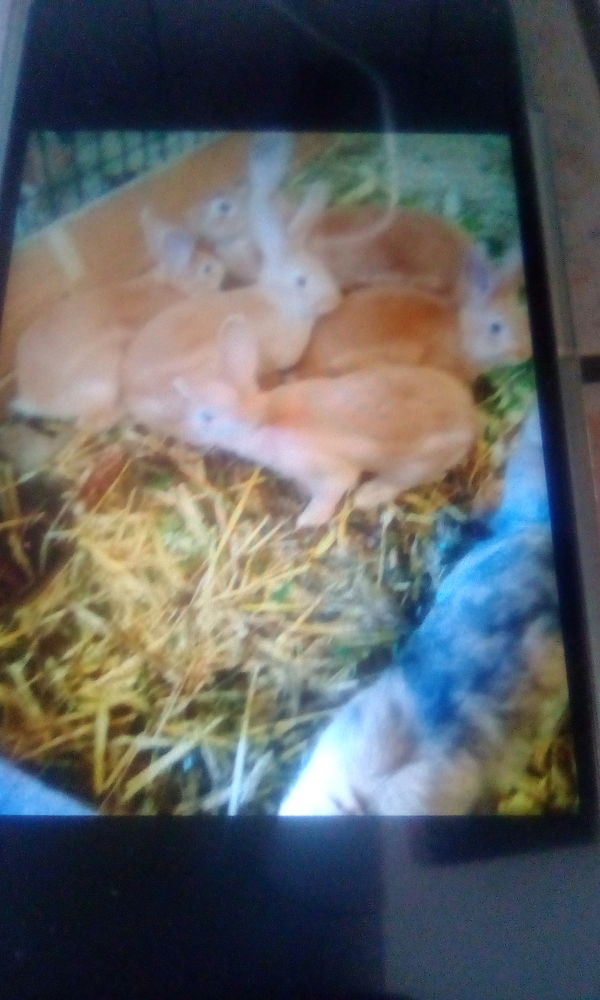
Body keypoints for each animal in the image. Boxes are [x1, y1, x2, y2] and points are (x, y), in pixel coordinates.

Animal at [11, 209, 226, 430]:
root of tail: (33, 399)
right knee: (89, 422)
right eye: (207, 268)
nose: (223, 268)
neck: (175, 286)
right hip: (104, 379)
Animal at [173, 317, 479, 529]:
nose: (184, 432)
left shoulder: (327, 472)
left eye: (206, 417)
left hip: (413, 465)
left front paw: (307, 520)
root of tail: (470, 419)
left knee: (399, 481)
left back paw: (366, 496)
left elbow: (333, 489)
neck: (266, 420)